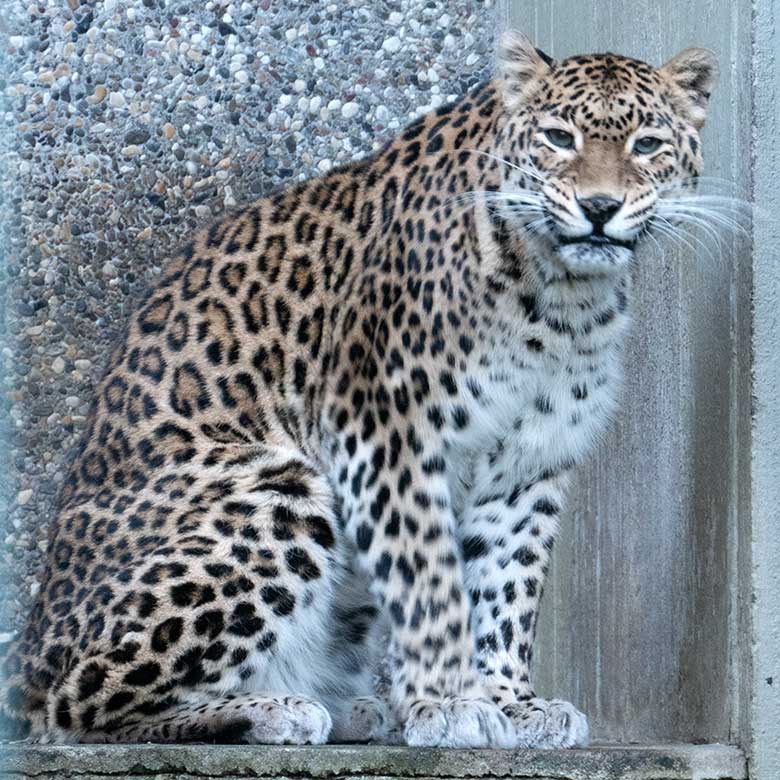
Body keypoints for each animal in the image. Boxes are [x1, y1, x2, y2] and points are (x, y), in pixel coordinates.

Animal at [1, 32, 720, 748]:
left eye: (647, 144)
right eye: (559, 137)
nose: (600, 208)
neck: (561, 298)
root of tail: (30, 660)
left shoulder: (530, 462)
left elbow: (507, 587)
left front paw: (512, 702)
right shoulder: (386, 427)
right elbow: (428, 576)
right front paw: (450, 703)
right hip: (276, 489)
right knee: (82, 705)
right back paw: (271, 709)